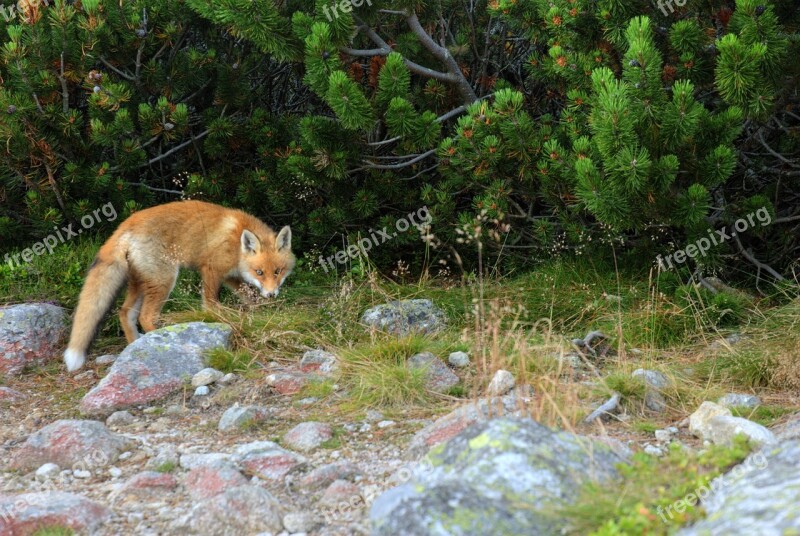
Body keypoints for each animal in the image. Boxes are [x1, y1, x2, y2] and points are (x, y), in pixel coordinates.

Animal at [61, 201, 294, 372]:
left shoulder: (230, 278)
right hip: (164, 281)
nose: (271, 294)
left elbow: (249, 297)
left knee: (125, 312)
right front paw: (217, 319)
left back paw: (134, 344)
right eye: (260, 272)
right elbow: (211, 304)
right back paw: (158, 339)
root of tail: (125, 226)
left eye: (277, 271)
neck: (237, 244)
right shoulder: (211, 270)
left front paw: (259, 313)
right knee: (145, 316)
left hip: (141, 283)